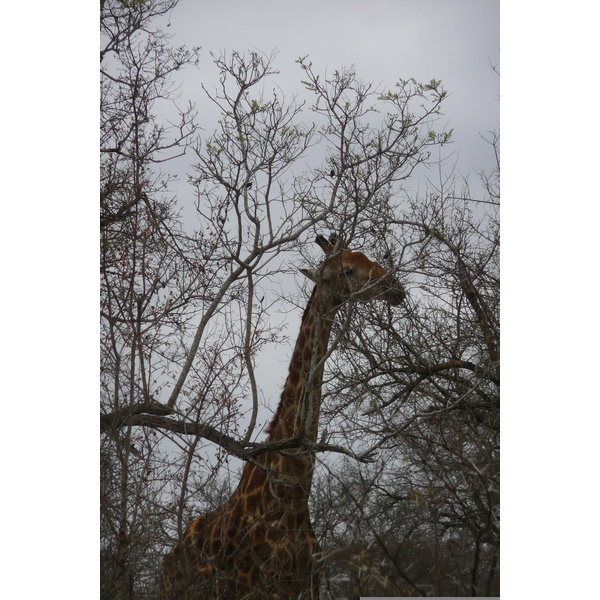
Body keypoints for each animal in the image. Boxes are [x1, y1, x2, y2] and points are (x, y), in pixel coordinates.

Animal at [159, 234, 406, 600]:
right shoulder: (258, 587)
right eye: (348, 270)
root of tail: (166, 561)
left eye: (366, 257)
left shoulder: (308, 584)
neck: (293, 498)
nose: (396, 288)